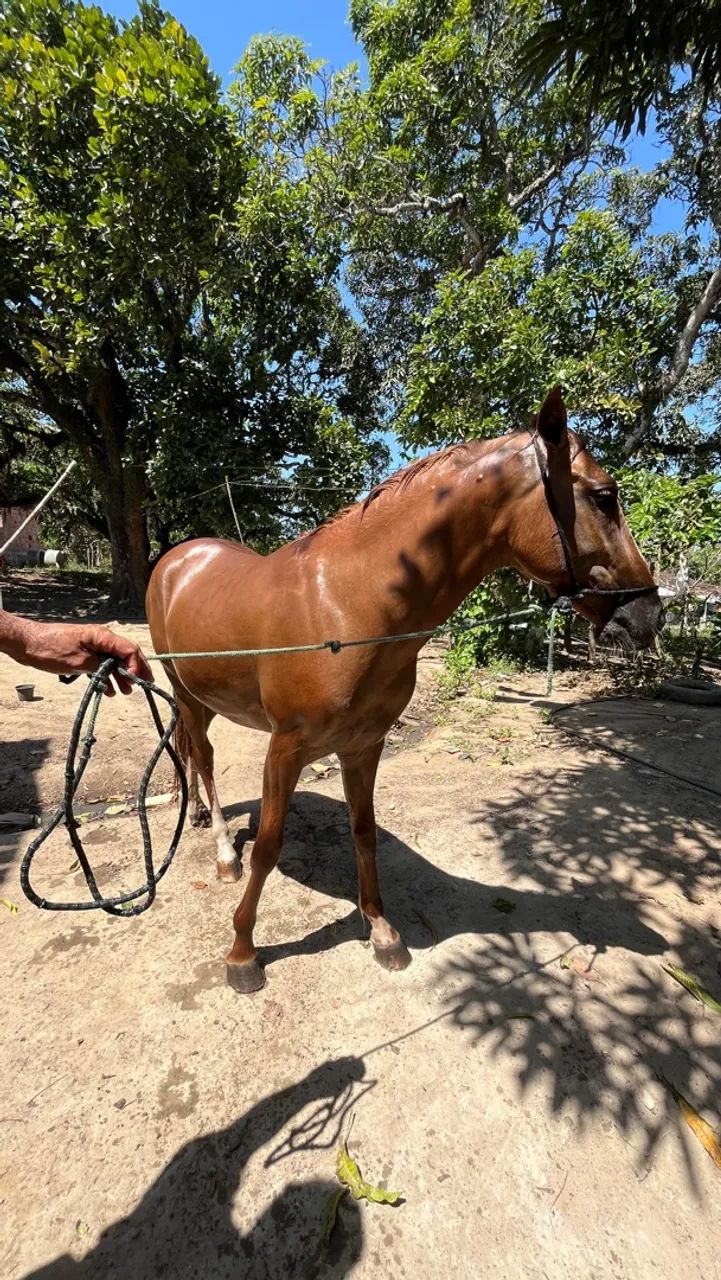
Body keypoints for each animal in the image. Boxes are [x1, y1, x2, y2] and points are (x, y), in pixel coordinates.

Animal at [146, 387, 663, 993]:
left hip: (202, 698)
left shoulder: (364, 745)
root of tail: (177, 558)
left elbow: (364, 831)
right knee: (203, 758)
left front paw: (381, 930)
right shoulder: (285, 749)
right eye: (605, 497)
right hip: (184, 692)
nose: (649, 614)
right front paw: (243, 951)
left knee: (190, 751)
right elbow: (269, 847)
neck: (349, 605)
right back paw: (225, 852)